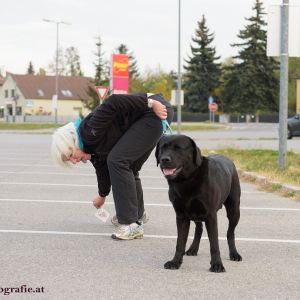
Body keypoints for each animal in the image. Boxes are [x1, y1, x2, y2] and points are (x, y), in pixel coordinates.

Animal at [155, 135, 241, 274]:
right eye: (163, 147)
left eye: (178, 148)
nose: (164, 159)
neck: (187, 180)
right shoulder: (181, 216)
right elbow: (180, 242)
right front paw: (175, 262)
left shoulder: (211, 215)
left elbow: (214, 243)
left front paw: (217, 264)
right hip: (195, 213)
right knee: (199, 228)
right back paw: (193, 249)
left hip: (234, 210)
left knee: (230, 233)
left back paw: (234, 254)